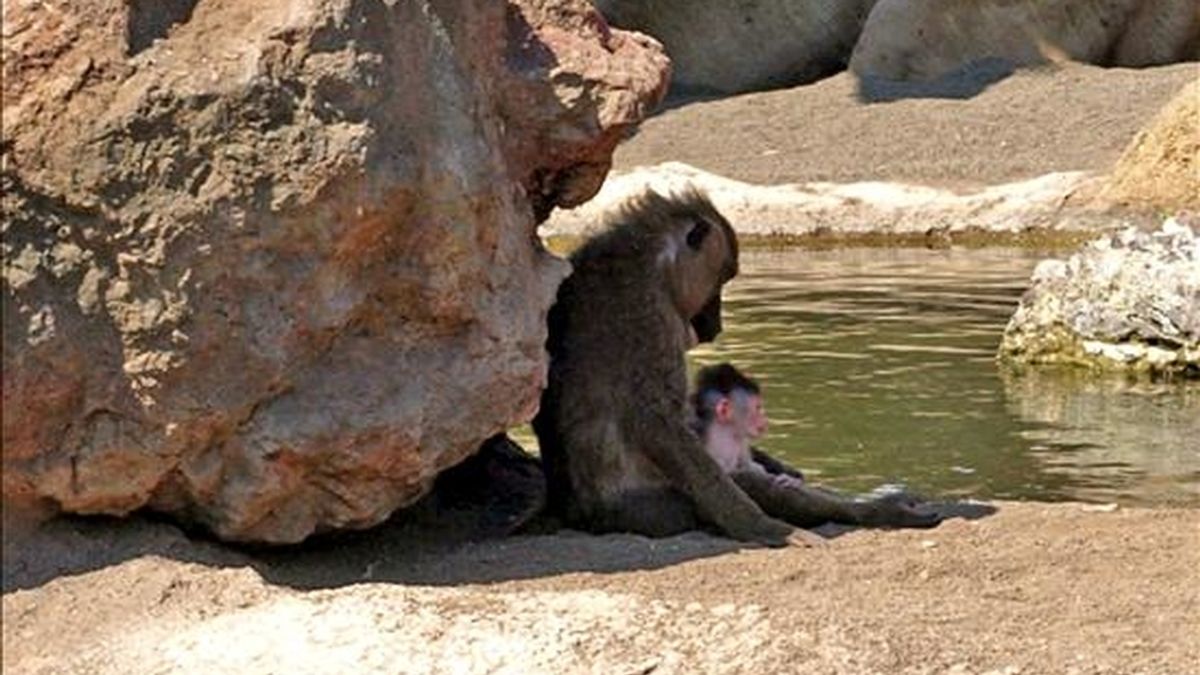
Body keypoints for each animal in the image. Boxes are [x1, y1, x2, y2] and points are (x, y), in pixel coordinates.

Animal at [691, 362, 940, 530]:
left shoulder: (742, 442)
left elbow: (755, 466)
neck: (725, 433)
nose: (765, 421)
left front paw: (791, 477)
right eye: (758, 408)